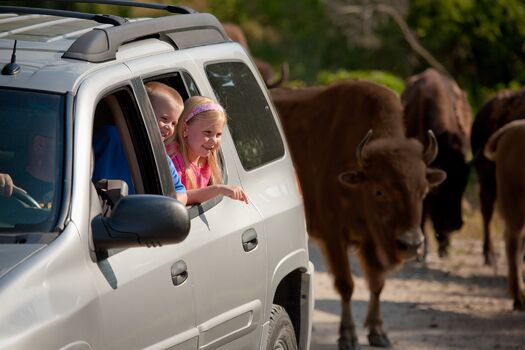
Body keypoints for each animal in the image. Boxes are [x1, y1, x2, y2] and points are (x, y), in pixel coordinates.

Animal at [270, 80, 446, 348]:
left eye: (424, 190)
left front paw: (378, 333)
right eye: (379, 191)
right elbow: (346, 284)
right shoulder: (333, 236)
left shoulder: (371, 242)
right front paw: (348, 336)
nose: (411, 244)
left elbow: (376, 284)